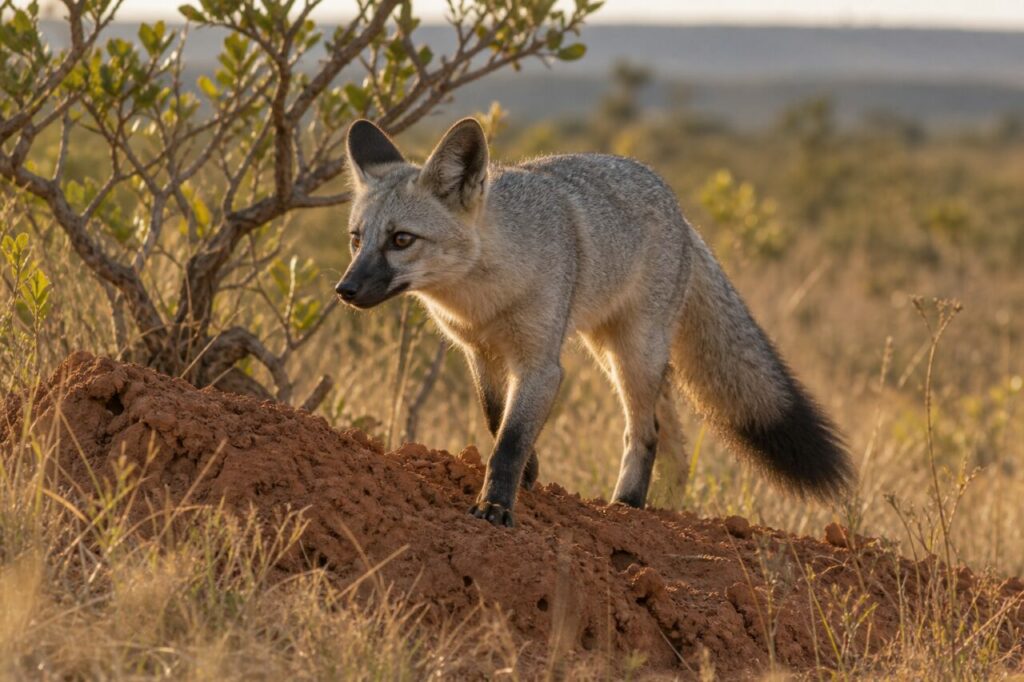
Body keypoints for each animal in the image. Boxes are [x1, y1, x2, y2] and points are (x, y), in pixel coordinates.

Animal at [335, 117, 853, 527]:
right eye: (357, 239)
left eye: (402, 240)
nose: (345, 290)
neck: (482, 298)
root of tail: (681, 213)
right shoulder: (479, 352)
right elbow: (495, 418)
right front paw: (529, 475)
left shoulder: (542, 363)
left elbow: (510, 440)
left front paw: (497, 506)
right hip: (608, 351)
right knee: (671, 438)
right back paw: (662, 503)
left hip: (633, 357)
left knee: (646, 432)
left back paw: (627, 503)